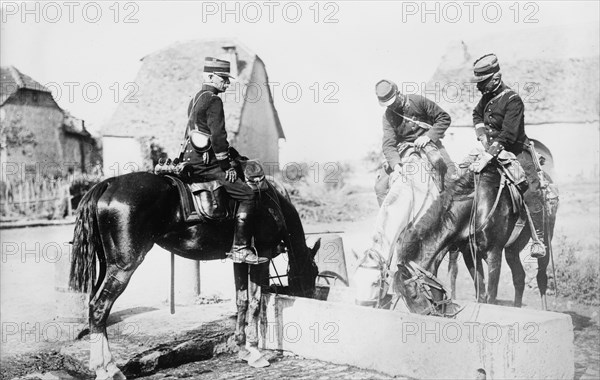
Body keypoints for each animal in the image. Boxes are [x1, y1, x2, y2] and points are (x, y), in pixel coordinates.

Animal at [68, 172, 322, 380]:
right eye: (314, 273)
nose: (309, 294)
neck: (272, 201)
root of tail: (109, 183)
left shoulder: (240, 259)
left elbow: (242, 301)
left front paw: (243, 349)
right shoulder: (264, 256)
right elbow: (256, 303)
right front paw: (255, 351)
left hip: (107, 266)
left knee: (94, 308)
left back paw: (105, 366)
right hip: (123, 267)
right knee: (99, 308)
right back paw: (107, 368)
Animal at [394, 148, 556, 314]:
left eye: (413, 295)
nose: (430, 314)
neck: (477, 205)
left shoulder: (494, 253)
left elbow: (491, 296)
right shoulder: (470, 255)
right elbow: (481, 294)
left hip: (545, 243)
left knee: (541, 277)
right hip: (512, 250)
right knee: (519, 277)